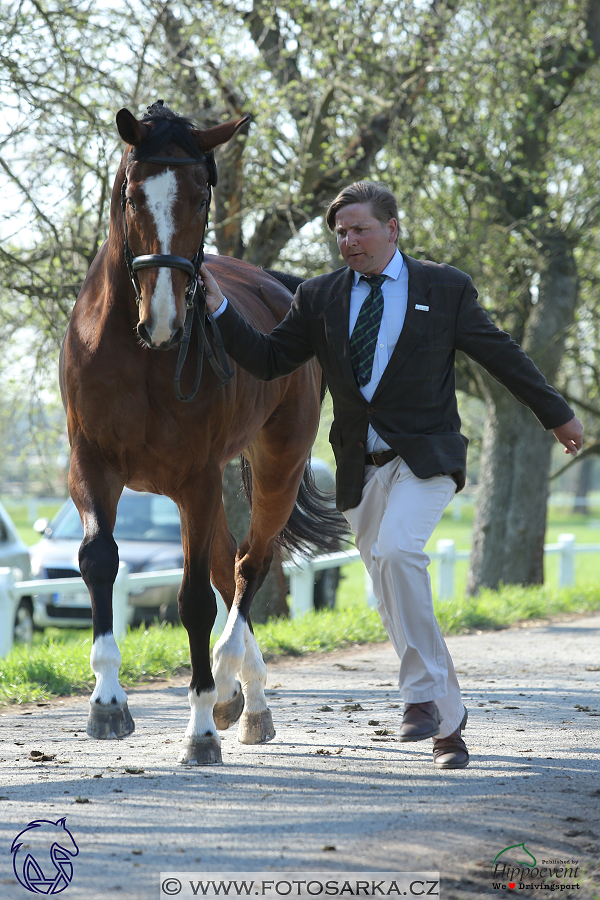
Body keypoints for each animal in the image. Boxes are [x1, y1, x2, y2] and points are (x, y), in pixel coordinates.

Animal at [59, 105, 346, 768]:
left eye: (200, 195)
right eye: (132, 195)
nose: (164, 320)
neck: (138, 356)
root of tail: (280, 288)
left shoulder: (196, 477)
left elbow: (193, 600)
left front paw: (199, 731)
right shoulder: (91, 467)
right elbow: (99, 561)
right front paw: (107, 703)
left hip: (273, 469)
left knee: (248, 566)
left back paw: (234, 683)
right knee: (227, 562)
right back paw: (246, 697)